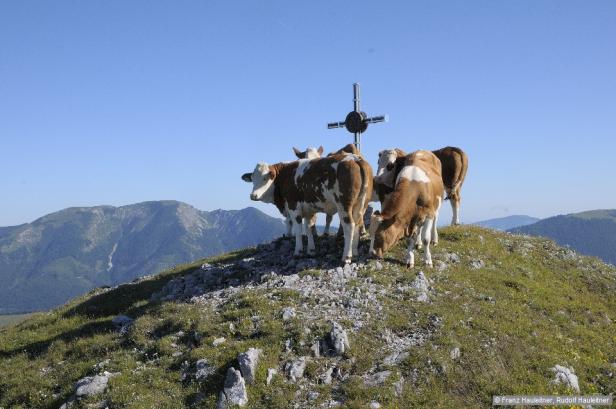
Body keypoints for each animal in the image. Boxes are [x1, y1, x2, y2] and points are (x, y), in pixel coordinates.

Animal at [243, 153, 372, 262]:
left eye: (265, 178)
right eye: (253, 179)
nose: (253, 195)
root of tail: (355, 158)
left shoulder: (293, 205)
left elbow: (298, 229)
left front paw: (298, 252)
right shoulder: (309, 209)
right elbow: (308, 228)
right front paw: (311, 251)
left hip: (344, 204)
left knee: (350, 225)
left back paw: (346, 257)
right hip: (362, 204)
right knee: (358, 223)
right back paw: (355, 253)